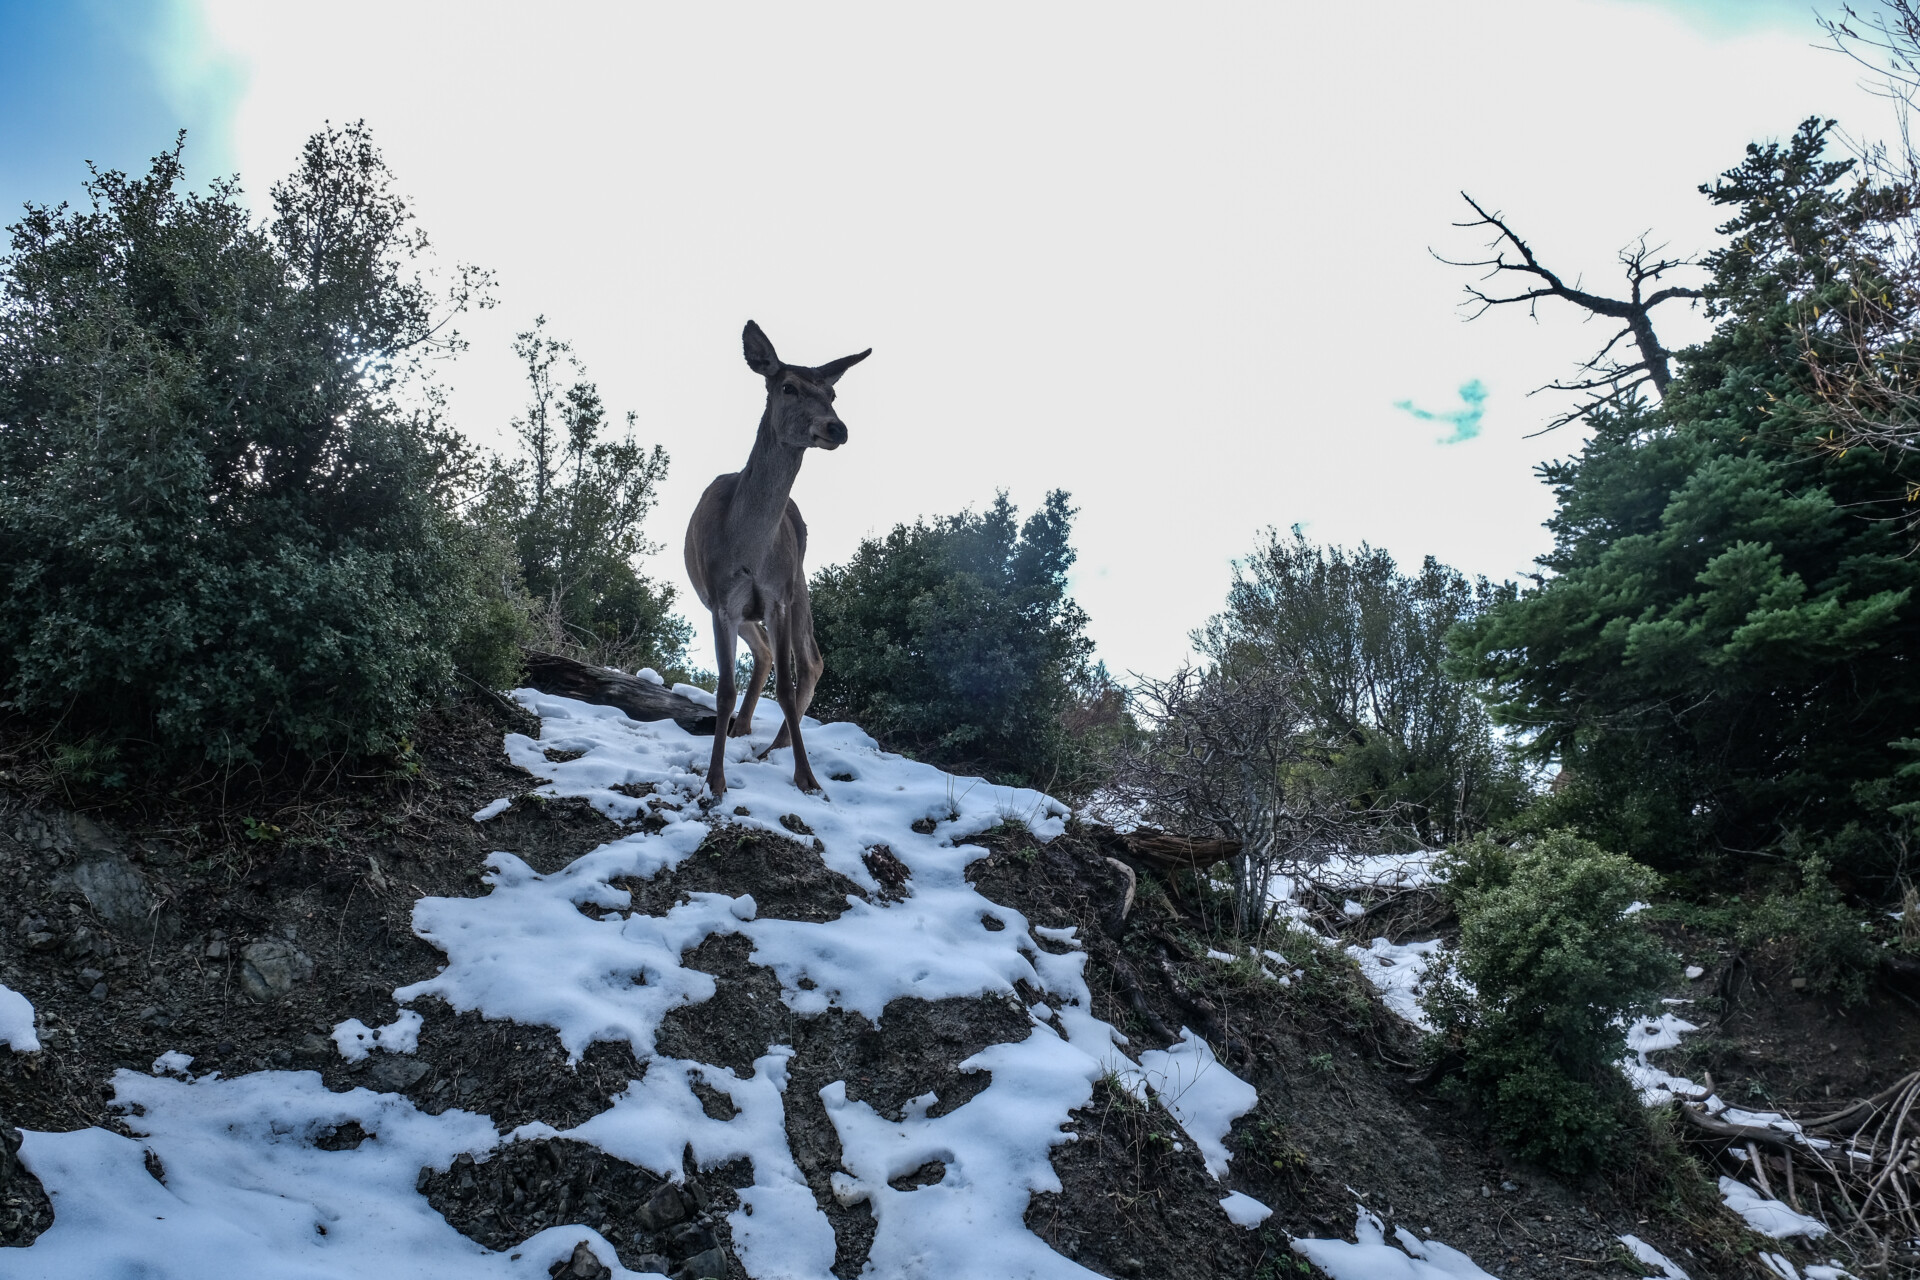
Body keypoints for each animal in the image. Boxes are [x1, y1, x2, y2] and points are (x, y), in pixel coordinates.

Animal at [683, 320, 871, 802]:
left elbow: (785, 687)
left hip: (800, 581)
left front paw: (807, 777)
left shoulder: (777, 596)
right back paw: (745, 730)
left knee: (809, 660)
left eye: (832, 393)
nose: (836, 428)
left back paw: (777, 744)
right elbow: (724, 690)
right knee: (766, 651)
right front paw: (714, 780)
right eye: (788, 386)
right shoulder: (723, 600)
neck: (746, 550)